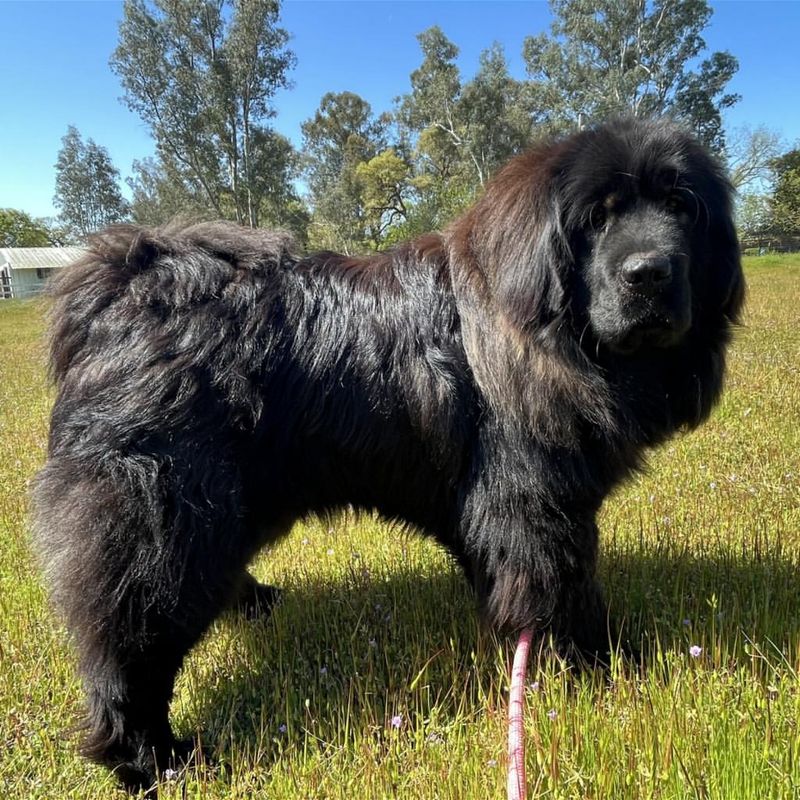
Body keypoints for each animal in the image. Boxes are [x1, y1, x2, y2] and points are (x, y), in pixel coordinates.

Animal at [31, 119, 744, 788]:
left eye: (682, 207)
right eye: (598, 218)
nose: (650, 271)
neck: (555, 336)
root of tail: (121, 292)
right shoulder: (534, 508)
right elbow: (564, 596)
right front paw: (605, 666)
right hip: (165, 522)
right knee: (128, 652)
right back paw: (154, 759)